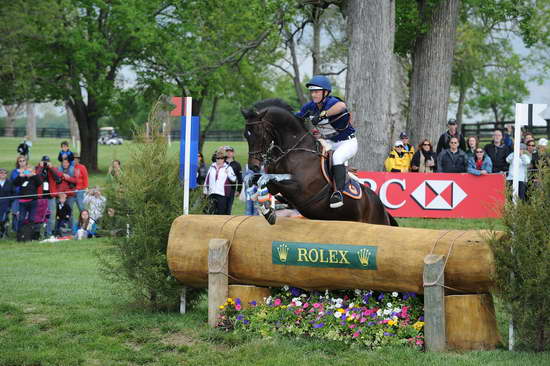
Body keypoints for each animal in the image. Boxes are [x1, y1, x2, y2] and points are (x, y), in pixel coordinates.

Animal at [244, 98, 398, 227]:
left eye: (259, 133)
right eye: (246, 135)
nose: (253, 165)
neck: (292, 150)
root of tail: (382, 208)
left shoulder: (300, 189)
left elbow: (267, 181)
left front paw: (268, 211)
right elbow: (256, 181)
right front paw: (266, 209)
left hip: (377, 222)